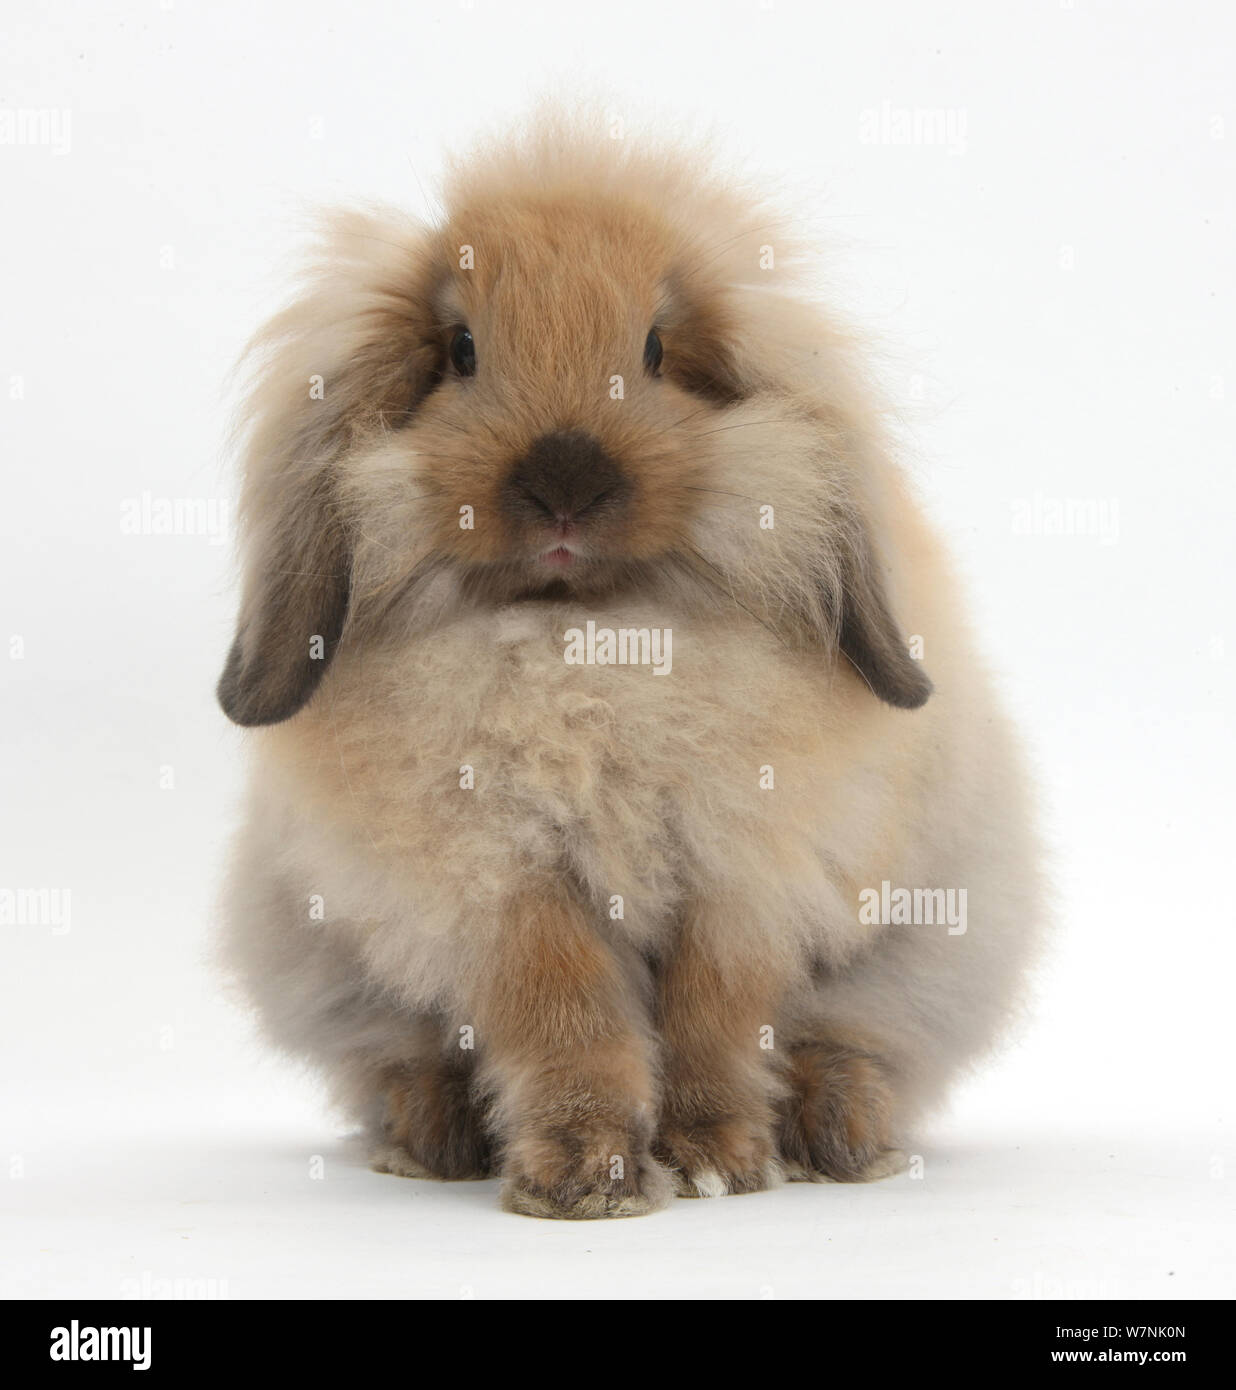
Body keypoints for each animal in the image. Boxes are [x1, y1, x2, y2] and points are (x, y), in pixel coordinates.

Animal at [215, 110, 1043, 1220]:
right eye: (461, 351)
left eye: (654, 348)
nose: (566, 481)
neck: (589, 642)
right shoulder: (506, 892)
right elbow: (569, 1025)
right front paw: (583, 1179)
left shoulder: (742, 877)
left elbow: (714, 1022)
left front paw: (718, 1161)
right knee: (396, 1058)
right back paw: (433, 1137)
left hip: (933, 947)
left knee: (857, 1044)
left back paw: (840, 1136)